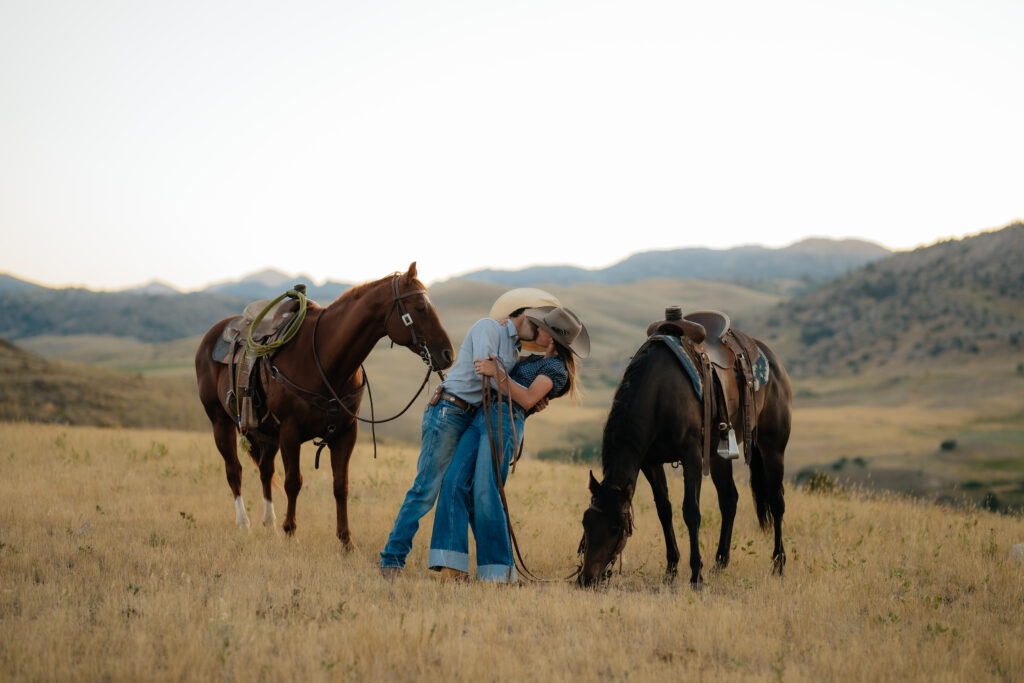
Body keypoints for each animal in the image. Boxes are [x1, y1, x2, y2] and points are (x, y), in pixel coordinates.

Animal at [194, 263, 454, 548]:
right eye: (419, 307)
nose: (448, 354)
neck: (325, 358)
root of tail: (213, 333)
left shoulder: (345, 433)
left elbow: (341, 485)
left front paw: (346, 541)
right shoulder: (290, 432)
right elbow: (293, 482)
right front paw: (291, 532)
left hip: (266, 433)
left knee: (264, 471)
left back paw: (270, 525)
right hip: (220, 422)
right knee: (234, 471)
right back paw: (245, 525)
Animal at [577, 332, 792, 587]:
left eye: (616, 528)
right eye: (585, 522)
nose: (586, 579)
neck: (659, 393)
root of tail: (773, 361)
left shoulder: (692, 458)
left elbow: (691, 512)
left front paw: (696, 574)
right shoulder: (650, 463)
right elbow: (664, 510)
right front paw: (671, 568)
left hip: (773, 447)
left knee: (777, 502)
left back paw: (778, 564)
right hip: (718, 456)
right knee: (729, 500)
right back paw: (720, 563)